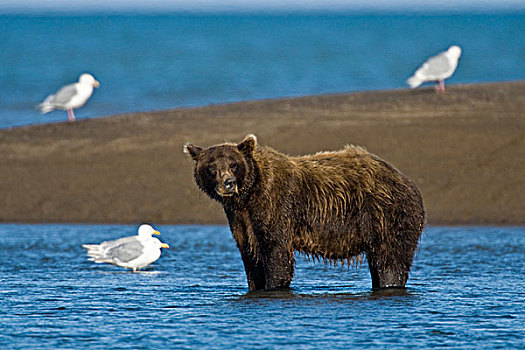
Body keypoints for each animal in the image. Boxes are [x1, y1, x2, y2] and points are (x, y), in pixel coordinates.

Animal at [182, 135, 424, 292]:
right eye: (211, 167)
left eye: (234, 164)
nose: (228, 183)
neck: (249, 196)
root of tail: (408, 181)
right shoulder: (242, 220)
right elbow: (251, 257)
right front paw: (256, 285)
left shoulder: (276, 207)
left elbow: (276, 254)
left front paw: (274, 286)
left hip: (386, 215)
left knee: (390, 261)